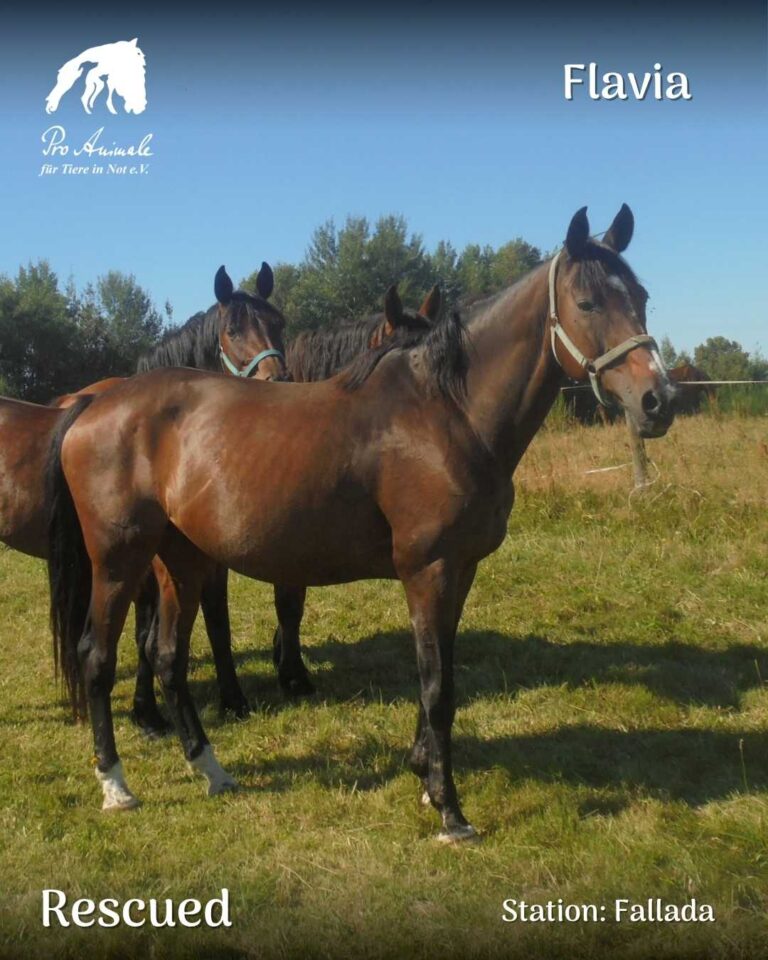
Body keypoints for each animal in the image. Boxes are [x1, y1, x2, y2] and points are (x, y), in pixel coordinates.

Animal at [46, 205, 675, 839]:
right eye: (588, 302)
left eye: (642, 297)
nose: (658, 400)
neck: (447, 413)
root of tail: (93, 405)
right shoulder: (429, 570)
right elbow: (436, 685)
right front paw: (449, 809)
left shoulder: (461, 570)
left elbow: (439, 676)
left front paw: (423, 773)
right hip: (119, 561)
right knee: (97, 657)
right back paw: (116, 785)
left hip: (182, 561)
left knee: (168, 657)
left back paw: (212, 771)